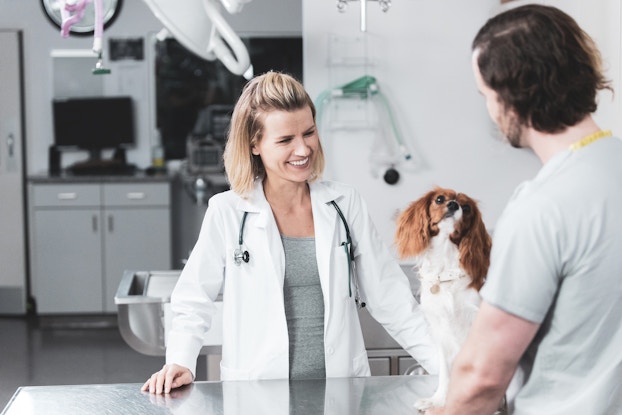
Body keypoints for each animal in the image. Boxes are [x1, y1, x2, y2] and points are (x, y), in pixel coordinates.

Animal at [394, 188, 492, 412]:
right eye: (439, 199)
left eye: (467, 208)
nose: (453, 205)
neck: (445, 268)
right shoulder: (441, 332)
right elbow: (446, 374)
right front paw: (437, 400)